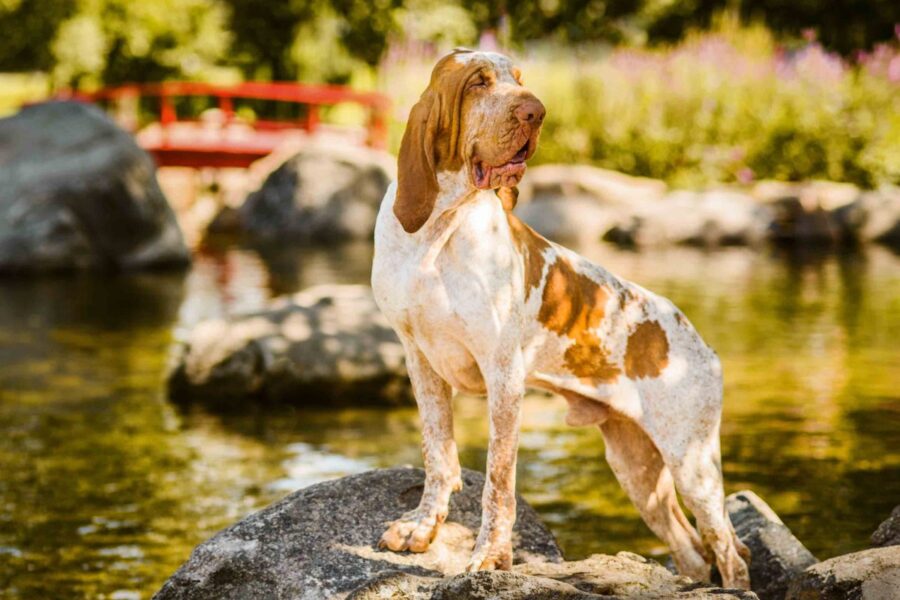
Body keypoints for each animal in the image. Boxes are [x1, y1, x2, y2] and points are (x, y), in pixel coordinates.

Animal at [372, 49, 752, 588]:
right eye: (478, 82)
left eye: (519, 79)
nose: (537, 112)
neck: (438, 234)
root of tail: (703, 345)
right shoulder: (420, 360)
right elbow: (438, 454)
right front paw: (422, 529)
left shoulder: (503, 377)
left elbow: (498, 483)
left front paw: (490, 558)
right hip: (637, 469)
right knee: (694, 552)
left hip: (692, 463)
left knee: (729, 551)